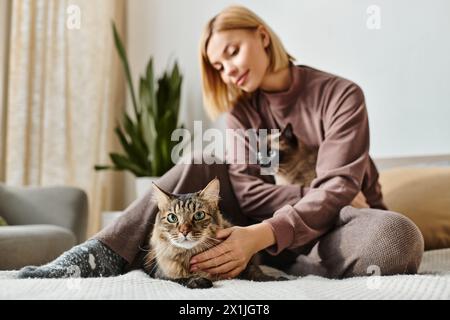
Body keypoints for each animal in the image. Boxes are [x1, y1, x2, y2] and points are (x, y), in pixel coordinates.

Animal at [144, 179, 284, 288]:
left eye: (199, 215)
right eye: (172, 218)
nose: (184, 231)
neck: (190, 254)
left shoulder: (246, 264)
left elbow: (255, 271)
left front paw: (276, 279)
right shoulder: (161, 274)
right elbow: (180, 279)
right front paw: (198, 281)